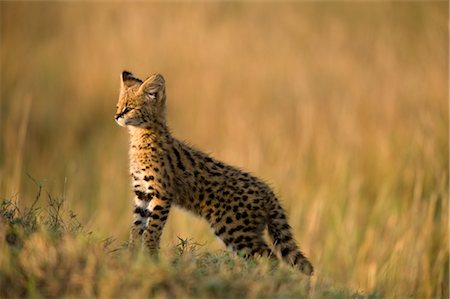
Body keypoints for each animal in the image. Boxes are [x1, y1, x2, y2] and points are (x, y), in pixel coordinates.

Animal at [114, 71, 314, 276]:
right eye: (118, 106)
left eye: (129, 108)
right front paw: (133, 253)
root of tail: (268, 191)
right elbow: (136, 226)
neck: (140, 136)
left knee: (269, 257)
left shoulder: (161, 194)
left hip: (234, 229)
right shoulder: (142, 193)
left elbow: (152, 229)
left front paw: (150, 255)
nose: (116, 116)